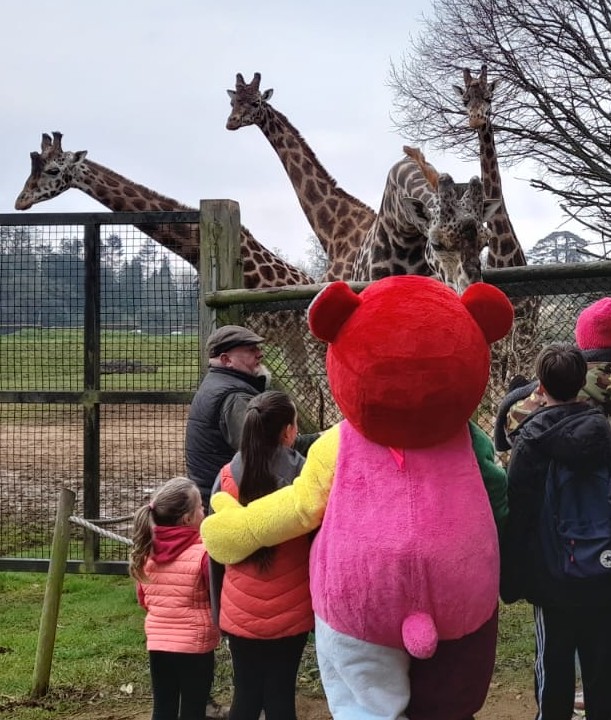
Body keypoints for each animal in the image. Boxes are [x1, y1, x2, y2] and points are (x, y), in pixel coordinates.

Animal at [16, 132, 340, 428]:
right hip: (291, 343)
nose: (21, 201)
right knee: (310, 392)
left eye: (53, 170)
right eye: (32, 168)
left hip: (311, 341)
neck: (196, 250)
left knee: (325, 395)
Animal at [452, 64, 544, 386]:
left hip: (529, 337)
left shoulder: (521, 335)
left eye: (489, 96)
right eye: (465, 99)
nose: (477, 119)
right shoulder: (496, 342)